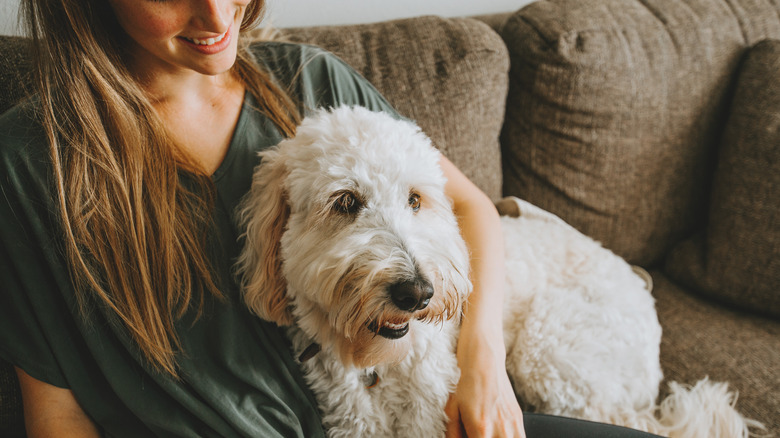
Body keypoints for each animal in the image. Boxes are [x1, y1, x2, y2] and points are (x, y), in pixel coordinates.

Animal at [236, 106, 760, 438]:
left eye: (415, 199)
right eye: (345, 202)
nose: (417, 292)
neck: (377, 365)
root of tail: (644, 294)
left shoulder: (430, 414)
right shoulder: (352, 421)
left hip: (550, 350)